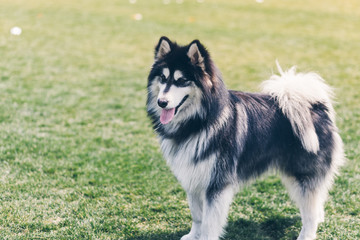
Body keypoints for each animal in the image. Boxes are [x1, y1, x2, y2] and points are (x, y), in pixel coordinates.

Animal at [146, 37, 344, 240]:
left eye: (182, 80)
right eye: (163, 78)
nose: (161, 102)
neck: (197, 123)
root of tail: (315, 106)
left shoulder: (217, 184)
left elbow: (209, 223)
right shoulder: (192, 179)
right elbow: (197, 216)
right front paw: (194, 235)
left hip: (303, 174)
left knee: (310, 211)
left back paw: (307, 233)